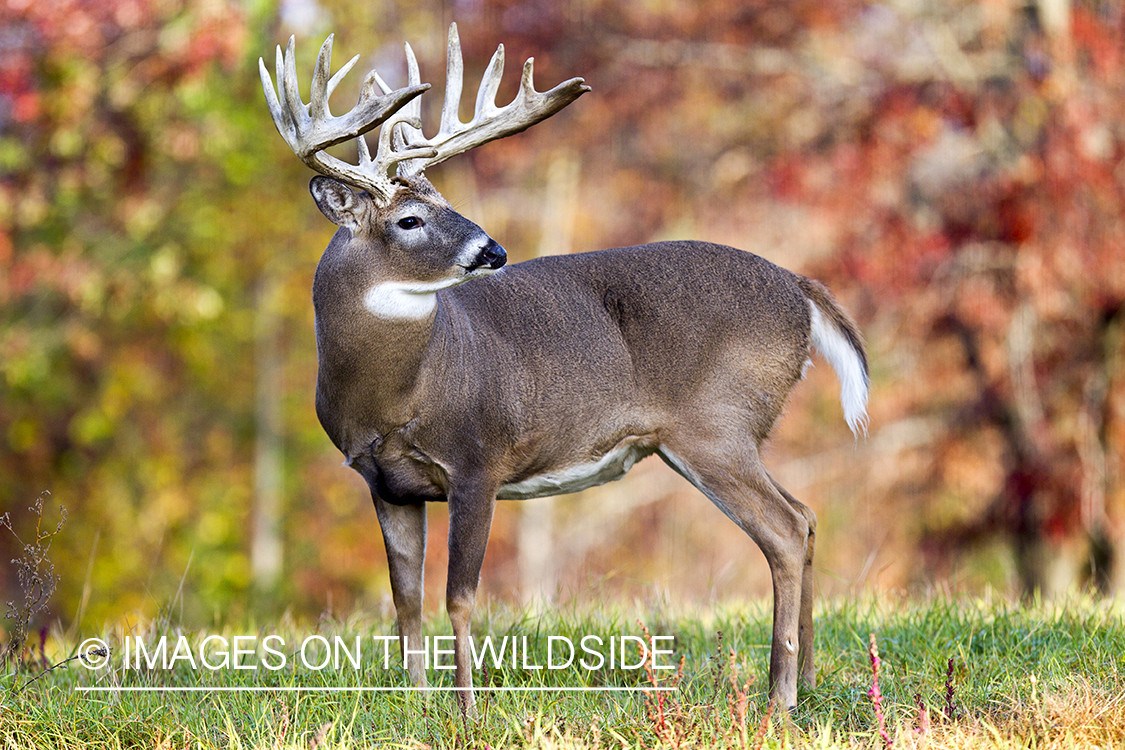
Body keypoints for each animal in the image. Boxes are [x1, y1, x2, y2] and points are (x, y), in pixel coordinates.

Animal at [261, 24, 868, 715]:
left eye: (447, 201)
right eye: (408, 219)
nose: (493, 250)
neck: (395, 397)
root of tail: (800, 289)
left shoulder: (478, 459)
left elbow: (458, 597)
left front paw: (467, 712)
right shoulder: (386, 483)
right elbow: (406, 601)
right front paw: (417, 705)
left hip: (717, 424)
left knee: (786, 529)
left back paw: (780, 697)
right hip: (717, 436)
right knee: (808, 515)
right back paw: (811, 680)